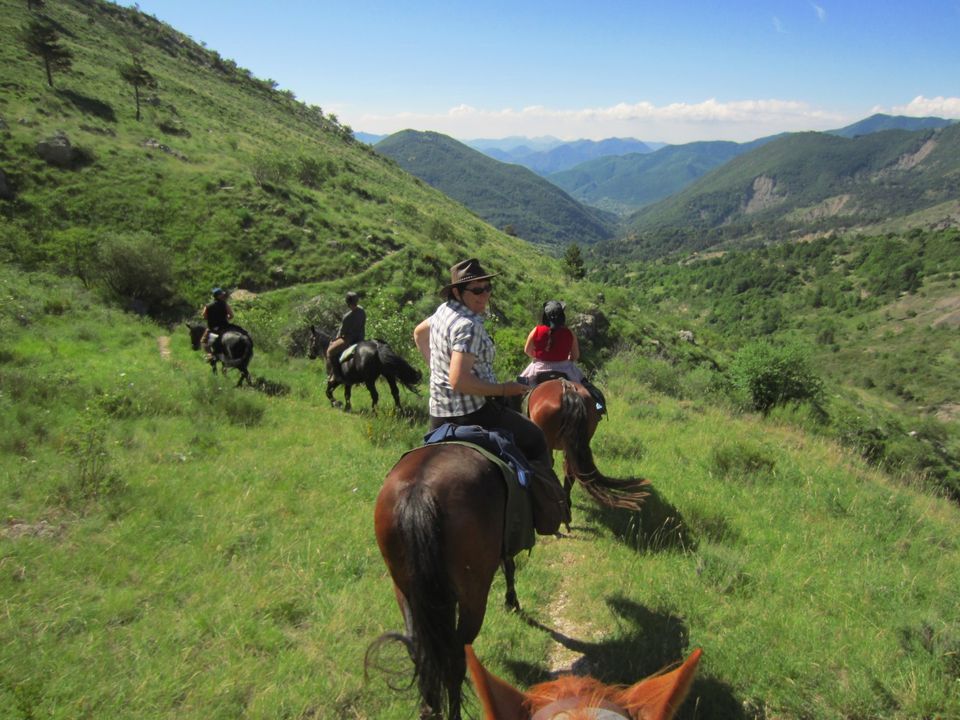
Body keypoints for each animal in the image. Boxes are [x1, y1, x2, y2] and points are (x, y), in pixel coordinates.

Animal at [374, 444, 524, 720]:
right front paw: (512, 602)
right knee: (455, 658)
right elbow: (509, 564)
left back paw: (429, 709)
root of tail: (418, 492)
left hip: (405, 590)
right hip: (473, 596)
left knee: (421, 652)